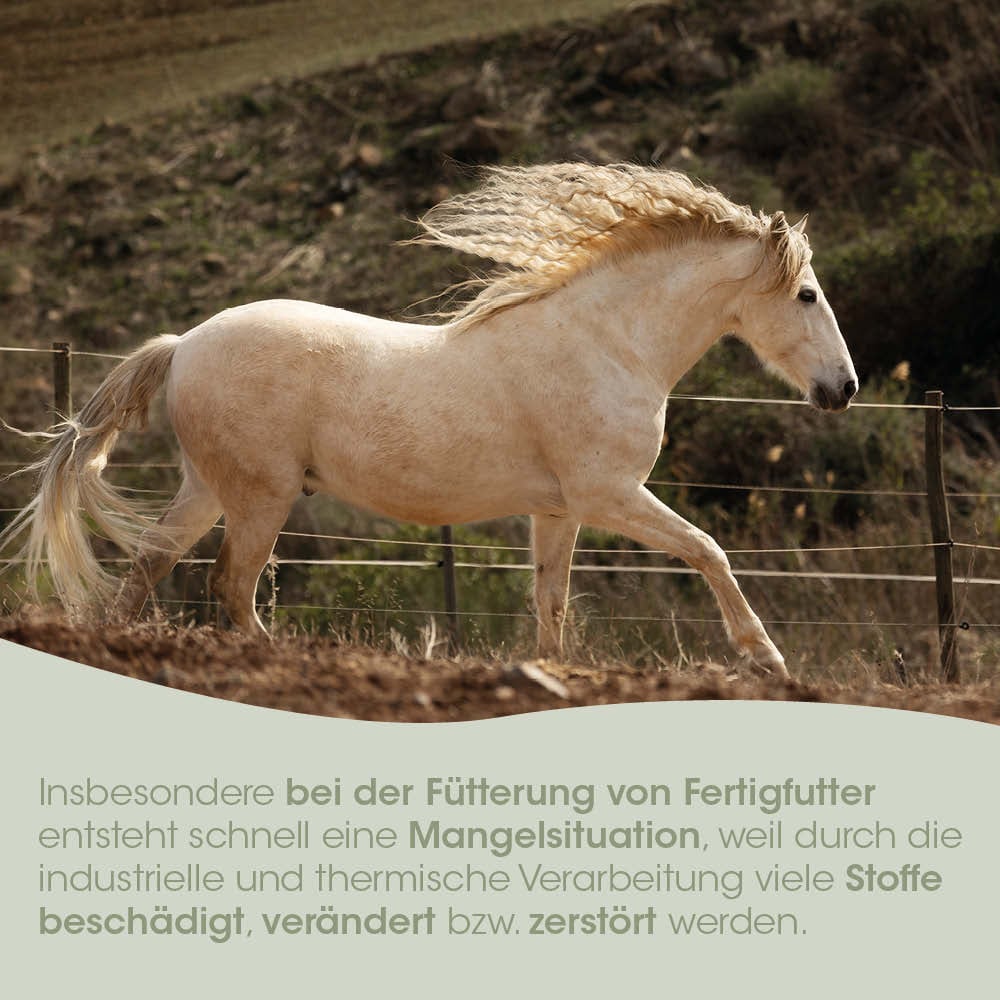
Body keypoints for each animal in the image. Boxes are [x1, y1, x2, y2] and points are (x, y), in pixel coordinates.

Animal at [0, 163, 857, 677]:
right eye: (808, 294)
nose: (843, 388)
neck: (609, 342)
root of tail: (181, 347)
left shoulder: (560, 508)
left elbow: (550, 600)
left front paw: (547, 671)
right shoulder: (610, 494)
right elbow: (709, 550)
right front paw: (766, 660)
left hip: (210, 487)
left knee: (152, 562)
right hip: (260, 496)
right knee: (230, 585)